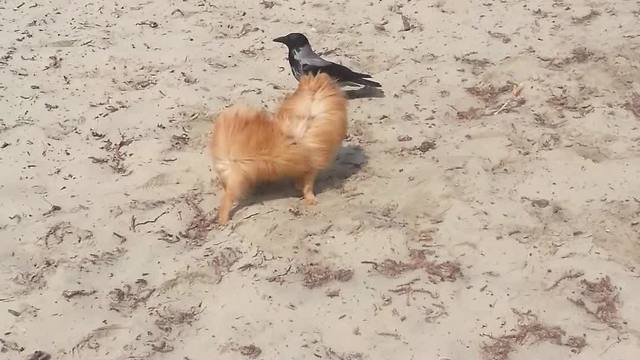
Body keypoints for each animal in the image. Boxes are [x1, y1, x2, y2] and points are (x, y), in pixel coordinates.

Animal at [209, 72, 348, 225]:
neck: (310, 115)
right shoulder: (312, 168)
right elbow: (308, 187)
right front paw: (311, 199)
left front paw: (298, 187)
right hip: (237, 174)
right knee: (226, 201)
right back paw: (224, 220)